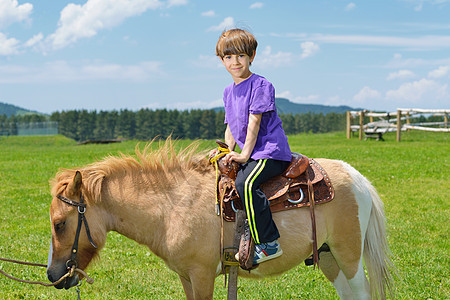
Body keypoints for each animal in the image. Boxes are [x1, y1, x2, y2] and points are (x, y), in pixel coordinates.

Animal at [46, 139, 394, 298]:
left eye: (59, 224)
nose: (52, 275)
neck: (173, 206)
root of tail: (357, 178)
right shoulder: (186, 276)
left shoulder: (202, 274)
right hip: (329, 256)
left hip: (348, 255)